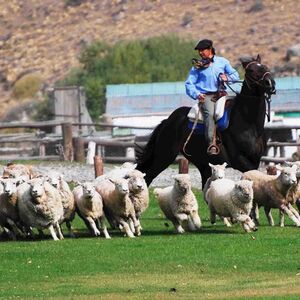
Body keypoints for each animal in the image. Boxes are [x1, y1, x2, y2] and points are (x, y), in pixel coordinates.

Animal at [136, 55, 276, 188]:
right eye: (251, 70)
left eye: (265, 67)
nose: (271, 84)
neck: (248, 125)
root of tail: (167, 121)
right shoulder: (240, 161)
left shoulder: (255, 160)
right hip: (164, 156)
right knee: (148, 177)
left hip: (202, 164)